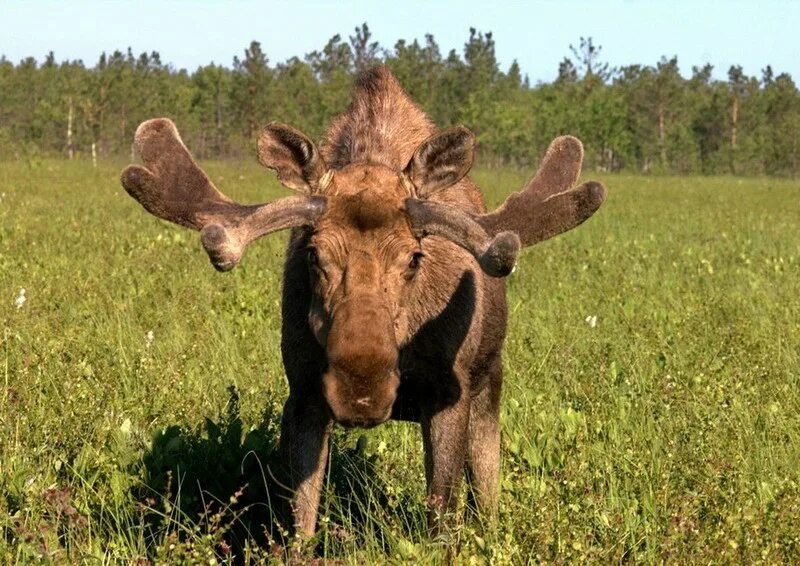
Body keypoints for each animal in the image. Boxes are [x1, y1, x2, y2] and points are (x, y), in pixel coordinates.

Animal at [120, 65, 608, 536]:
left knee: (486, 488)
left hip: (490, 381)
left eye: (414, 258)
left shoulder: (450, 391)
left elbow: (442, 516)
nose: (362, 394)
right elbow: (300, 520)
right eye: (313, 254)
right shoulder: (304, 392)